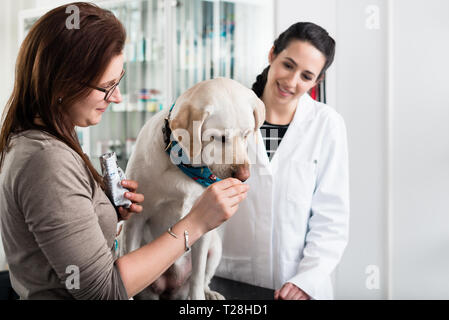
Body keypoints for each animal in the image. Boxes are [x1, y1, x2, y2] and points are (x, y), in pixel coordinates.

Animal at [121, 77, 264, 300]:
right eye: (220, 138)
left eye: (247, 134)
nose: (243, 176)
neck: (185, 167)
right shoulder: (135, 220)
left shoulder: (203, 230)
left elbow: (197, 276)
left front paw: (199, 295)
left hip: (216, 248)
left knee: (202, 278)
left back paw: (209, 293)